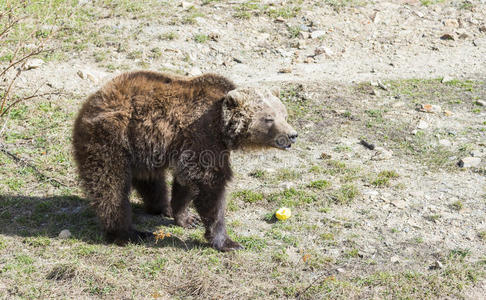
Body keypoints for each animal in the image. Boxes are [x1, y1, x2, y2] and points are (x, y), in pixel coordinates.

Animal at [72, 70, 298, 251]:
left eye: (284, 114)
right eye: (269, 118)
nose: (292, 135)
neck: (223, 127)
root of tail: (89, 103)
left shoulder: (189, 145)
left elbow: (186, 182)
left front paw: (187, 217)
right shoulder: (203, 136)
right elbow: (209, 184)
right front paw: (227, 241)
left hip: (143, 147)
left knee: (150, 180)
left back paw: (162, 207)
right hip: (110, 139)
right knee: (111, 189)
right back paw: (129, 233)